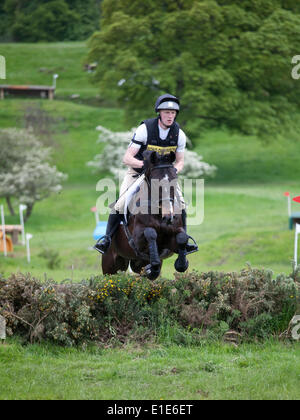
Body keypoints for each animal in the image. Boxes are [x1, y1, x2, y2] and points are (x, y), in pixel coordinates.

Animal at [102, 149, 192, 280]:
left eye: (175, 180)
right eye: (155, 183)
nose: (168, 217)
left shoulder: (171, 241)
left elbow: (182, 238)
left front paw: (181, 264)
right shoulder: (137, 241)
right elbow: (150, 233)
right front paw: (153, 265)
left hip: (135, 263)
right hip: (110, 265)